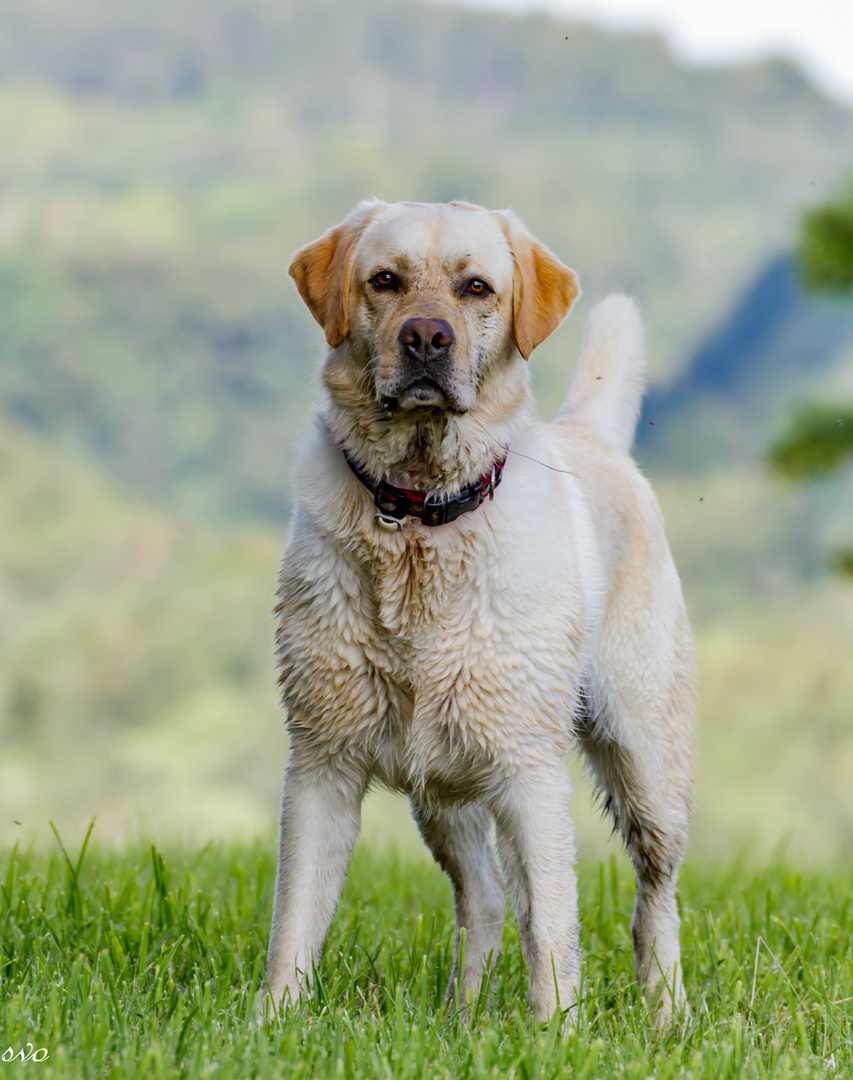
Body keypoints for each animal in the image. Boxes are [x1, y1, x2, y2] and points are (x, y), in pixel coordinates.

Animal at [265, 200, 695, 1019]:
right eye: (385, 280)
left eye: (476, 288)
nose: (427, 337)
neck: (418, 512)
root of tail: (587, 433)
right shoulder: (322, 760)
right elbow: (295, 919)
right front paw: (272, 1024)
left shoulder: (528, 771)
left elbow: (553, 927)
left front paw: (555, 1030)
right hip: (442, 784)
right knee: (487, 896)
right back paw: (462, 1017)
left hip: (643, 756)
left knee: (651, 897)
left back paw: (666, 1014)